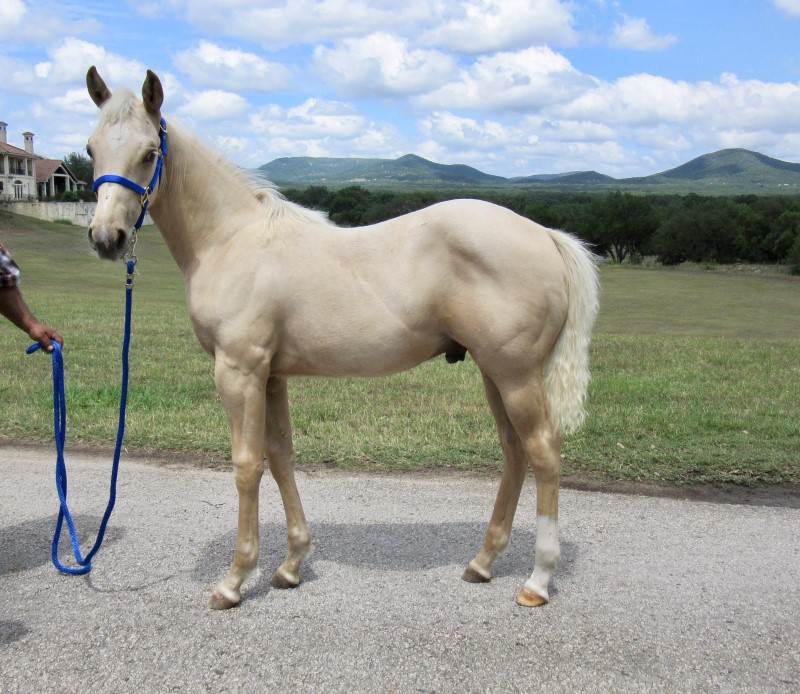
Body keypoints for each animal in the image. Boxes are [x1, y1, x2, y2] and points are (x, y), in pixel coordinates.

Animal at [86, 65, 600, 608]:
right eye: (91, 149)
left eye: (148, 153)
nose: (106, 238)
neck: (233, 238)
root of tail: (545, 234)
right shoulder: (271, 376)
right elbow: (281, 457)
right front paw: (291, 565)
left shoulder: (238, 371)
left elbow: (247, 466)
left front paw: (234, 579)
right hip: (495, 372)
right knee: (515, 452)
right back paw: (482, 563)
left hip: (515, 374)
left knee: (543, 451)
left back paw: (537, 580)